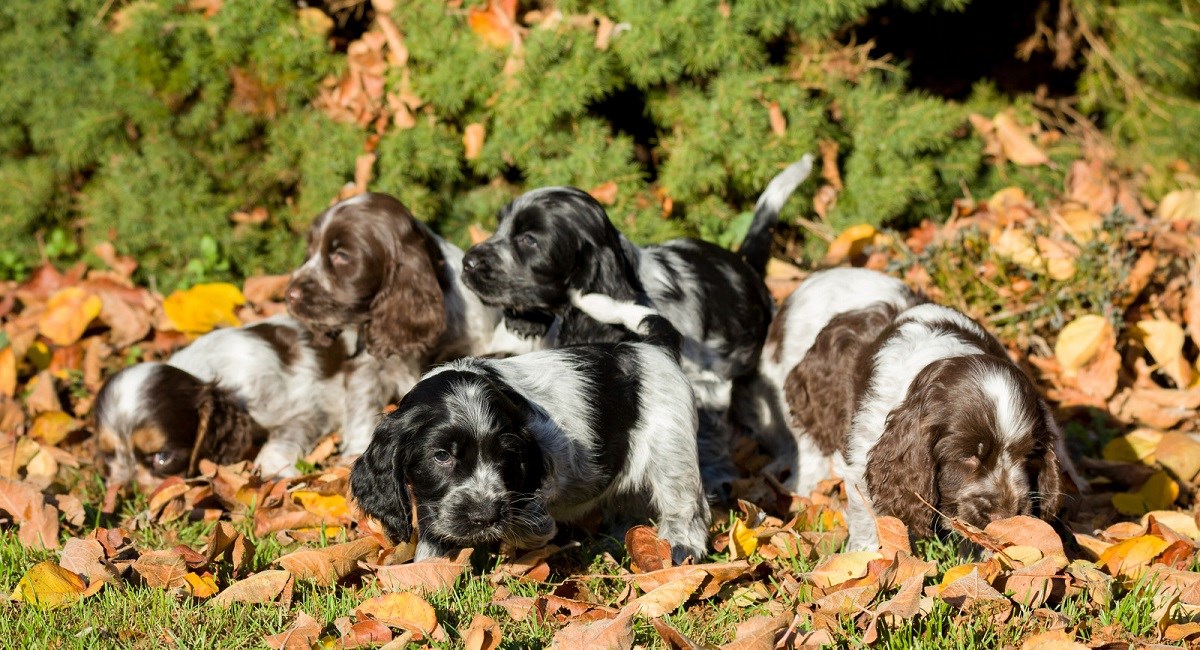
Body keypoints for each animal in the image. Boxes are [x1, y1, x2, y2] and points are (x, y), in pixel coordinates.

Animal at [95, 316, 350, 489]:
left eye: (163, 458)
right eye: (107, 455)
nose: (126, 489)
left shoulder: (304, 411)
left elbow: (279, 442)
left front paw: (270, 472)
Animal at [283, 194, 547, 458]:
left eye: (342, 255)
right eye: (309, 252)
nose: (289, 295)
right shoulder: (368, 364)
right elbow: (362, 405)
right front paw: (355, 451)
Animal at [348, 292, 705, 563]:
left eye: (505, 455)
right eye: (441, 456)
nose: (485, 516)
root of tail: (653, 346)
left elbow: (528, 515)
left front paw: (528, 533)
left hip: (672, 452)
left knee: (685, 506)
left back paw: (680, 548)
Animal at [458, 158, 816, 494]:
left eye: (529, 240)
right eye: (499, 226)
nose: (467, 262)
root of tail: (748, 270)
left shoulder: (704, 385)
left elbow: (706, 438)